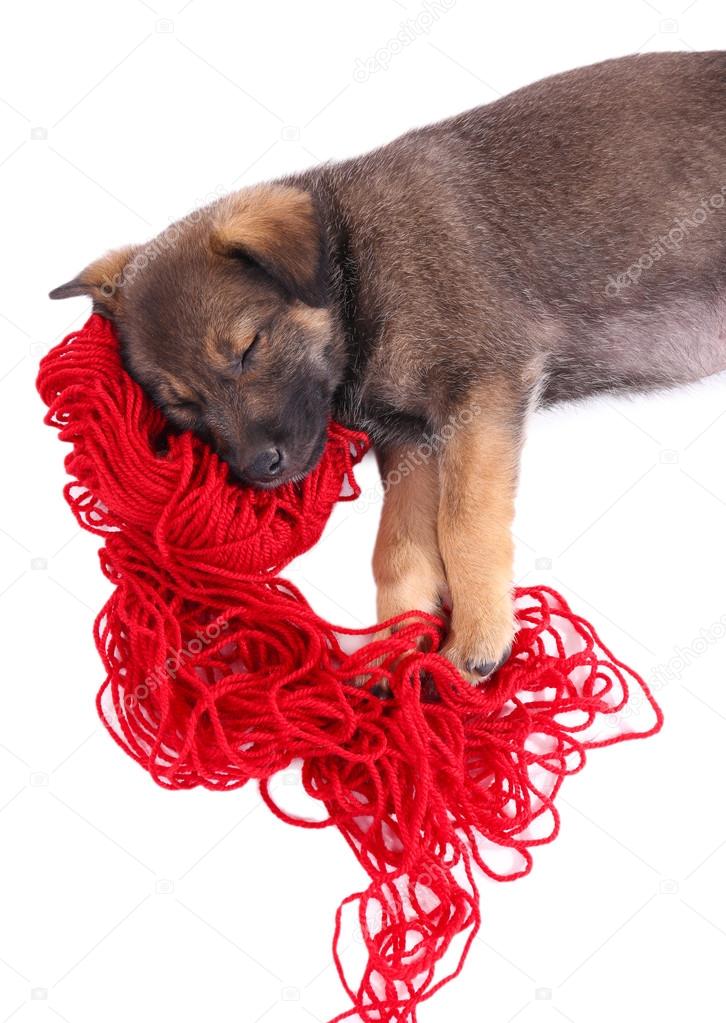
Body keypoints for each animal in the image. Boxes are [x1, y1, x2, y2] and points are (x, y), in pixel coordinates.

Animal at [52, 51, 726, 683]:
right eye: (182, 405)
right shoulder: (412, 441)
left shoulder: (481, 392)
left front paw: (478, 638)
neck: (355, 273)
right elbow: (398, 552)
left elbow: (463, 523)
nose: (259, 471)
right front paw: (391, 654)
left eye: (248, 348)